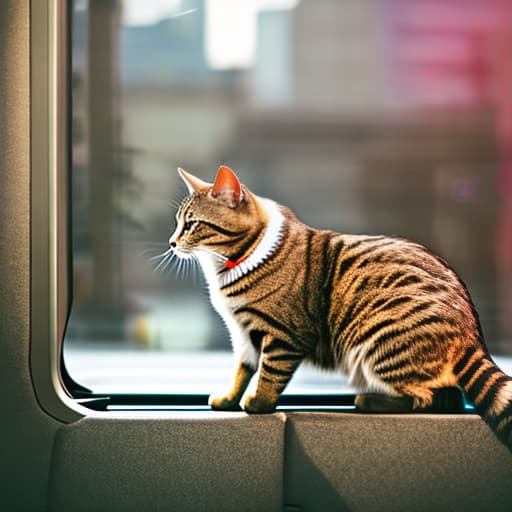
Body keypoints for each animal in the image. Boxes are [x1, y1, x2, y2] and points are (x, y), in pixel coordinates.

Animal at [169, 164, 512, 452]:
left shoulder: (283, 336)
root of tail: (474, 334)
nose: (172, 243)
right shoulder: (242, 335)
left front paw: (259, 403)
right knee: (449, 397)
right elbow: (242, 370)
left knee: (427, 397)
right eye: (177, 224)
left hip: (377, 339)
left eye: (192, 225)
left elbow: (269, 373)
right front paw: (229, 398)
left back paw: (368, 401)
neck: (225, 269)